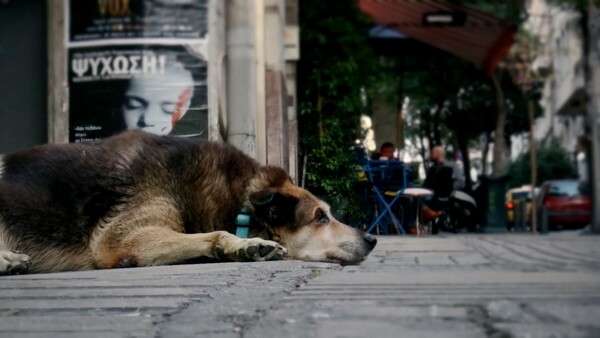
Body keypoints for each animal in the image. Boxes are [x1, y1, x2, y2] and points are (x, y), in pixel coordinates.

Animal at [0, 130, 376, 274]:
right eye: (320, 216)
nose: (372, 238)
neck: (236, 199)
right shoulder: (119, 239)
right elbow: (218, 234)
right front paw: (248, 245)